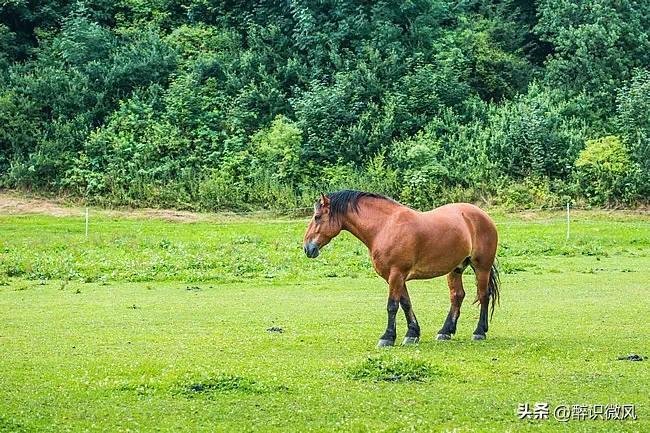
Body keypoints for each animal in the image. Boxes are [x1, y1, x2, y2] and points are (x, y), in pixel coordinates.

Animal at [302, 191, 498, 346]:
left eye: (317, 217)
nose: (307, 248)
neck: (384, 227)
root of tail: (482, 215)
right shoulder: (396, 277)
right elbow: (405, 303)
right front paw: (412, 333)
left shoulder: (396, 275)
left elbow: (392, 305)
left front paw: (387, 337)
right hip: (456, 269)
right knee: (457, 296)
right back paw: (445, 331)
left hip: (482, 267)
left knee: (483, 295)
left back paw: (479, 332)